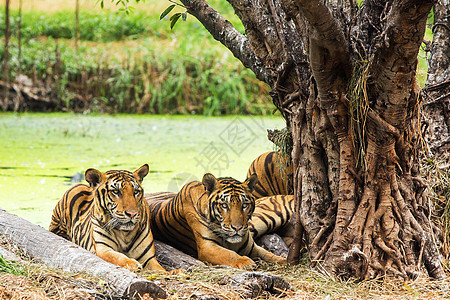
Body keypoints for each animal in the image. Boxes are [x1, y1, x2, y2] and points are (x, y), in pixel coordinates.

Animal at [145, 173, 284, 270]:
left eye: (244, 205)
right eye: (224, 205)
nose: (237, 228)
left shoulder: (252, 248)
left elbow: (270, 255)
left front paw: (285, 261)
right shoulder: (207, 247)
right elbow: (229, 254)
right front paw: (246, 262)